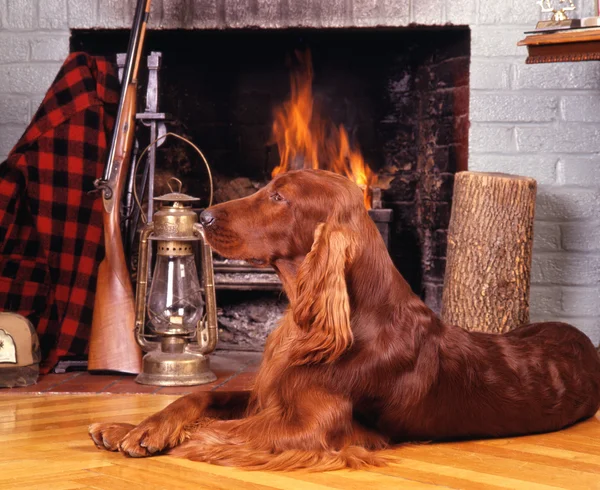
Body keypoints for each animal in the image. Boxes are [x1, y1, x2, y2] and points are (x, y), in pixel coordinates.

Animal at [89, 169, 600, 470]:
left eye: (278, 197)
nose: (204, 217)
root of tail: (581, 338)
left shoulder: (314, 428)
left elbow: (218, 429)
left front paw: (172, 439)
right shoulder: (268, 395)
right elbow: (197, 399)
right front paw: (134, 428)